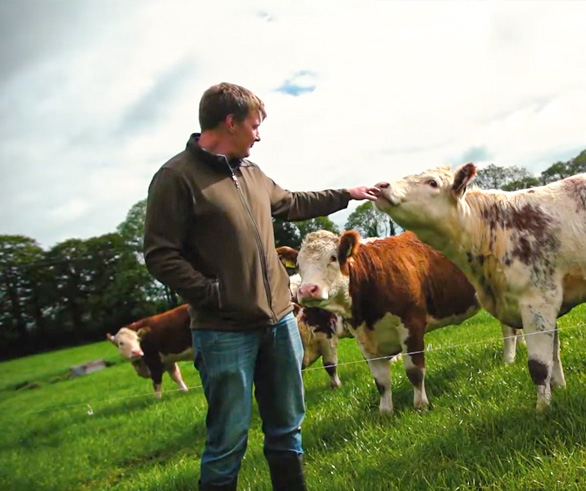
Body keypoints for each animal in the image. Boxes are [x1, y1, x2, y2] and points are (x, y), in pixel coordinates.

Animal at [288, 231, 484, 416]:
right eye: (298, 265)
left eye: (333, 257)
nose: (307, 290)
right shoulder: (364, 339)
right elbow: (381, 380)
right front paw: (385, 412)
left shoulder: (410, 326)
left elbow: (414, 371)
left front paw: (421, 405)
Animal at [374, 164, 584, 412]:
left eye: (432, 182)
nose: (381, 185)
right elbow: (554, 354)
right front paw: (559, 390)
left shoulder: (538, 300)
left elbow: (539, 366)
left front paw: (542, 409)